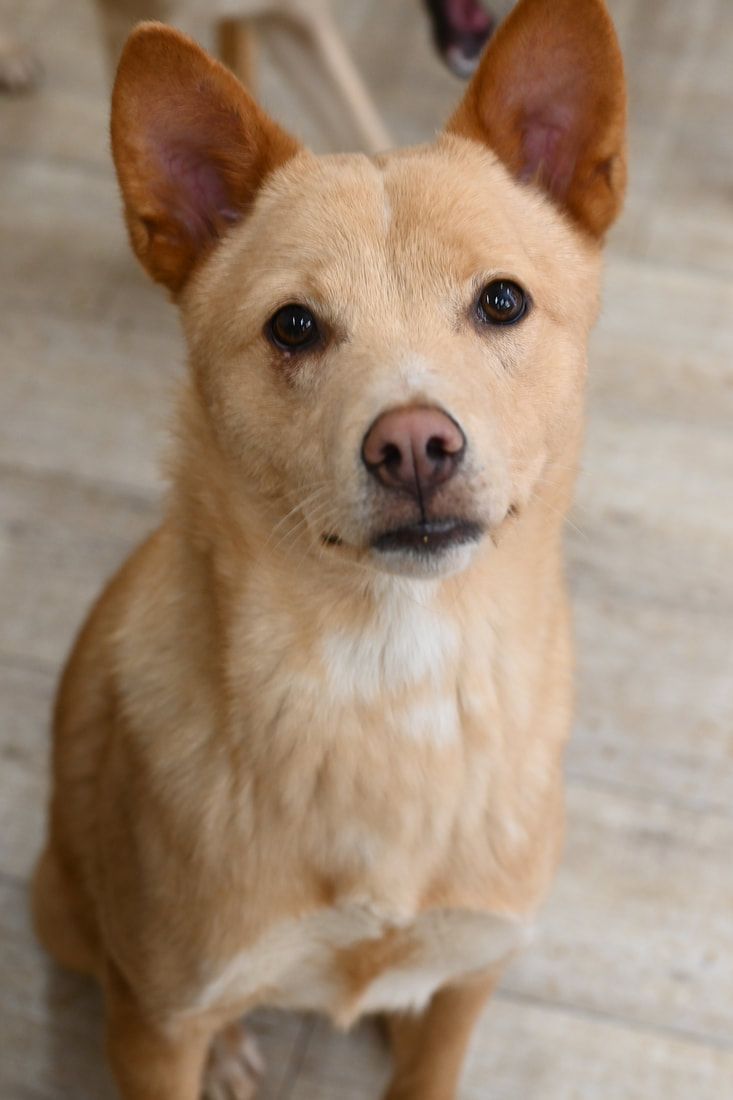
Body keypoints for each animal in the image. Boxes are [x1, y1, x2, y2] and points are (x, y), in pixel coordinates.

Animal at [32, 0, 620, 1095]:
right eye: (294, 325)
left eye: (502, 301)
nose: (414, 445)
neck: (396, 679)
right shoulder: (153, 1022)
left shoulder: (475, 978)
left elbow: (434, 1055)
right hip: (65, 912)